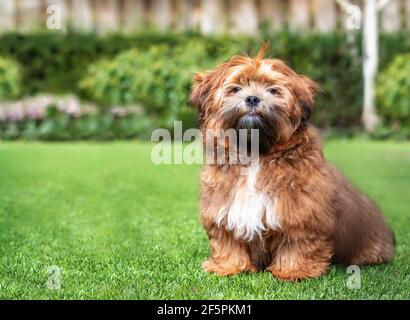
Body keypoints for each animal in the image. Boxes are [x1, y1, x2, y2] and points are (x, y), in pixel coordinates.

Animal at [191, 44, 396, 280]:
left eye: (273, 90)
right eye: (235, 88)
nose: (252, 98)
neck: (256, 154)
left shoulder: (302, 212)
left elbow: (297, 242)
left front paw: (293, 270)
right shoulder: (222, 207)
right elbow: (227, 240)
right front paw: (229, 266)